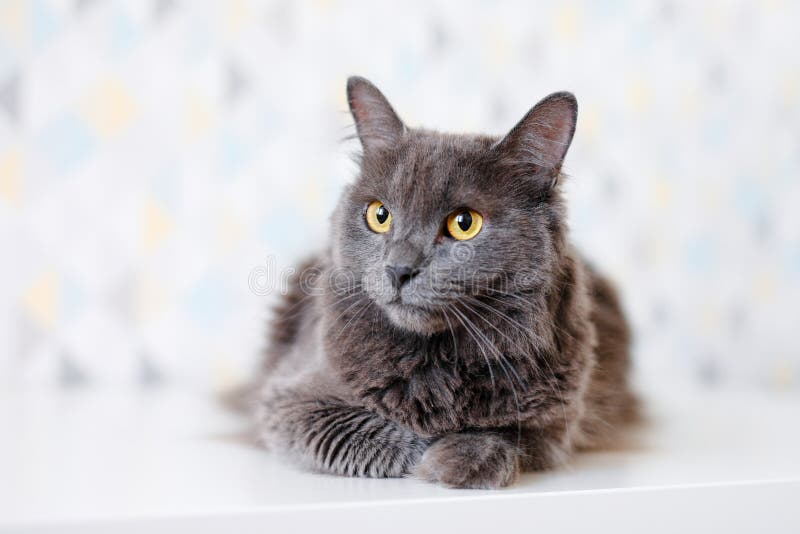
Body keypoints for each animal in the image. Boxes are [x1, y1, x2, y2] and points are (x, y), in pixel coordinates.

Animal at [253, 75, 636, 490]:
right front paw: (438, 454)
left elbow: (510, 433)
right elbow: (378, 432)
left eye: (464, 223)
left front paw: (468, 456)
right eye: (379, 215)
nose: (399, 269)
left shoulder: (557, 421)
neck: (436, 359)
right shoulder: (290, 401)